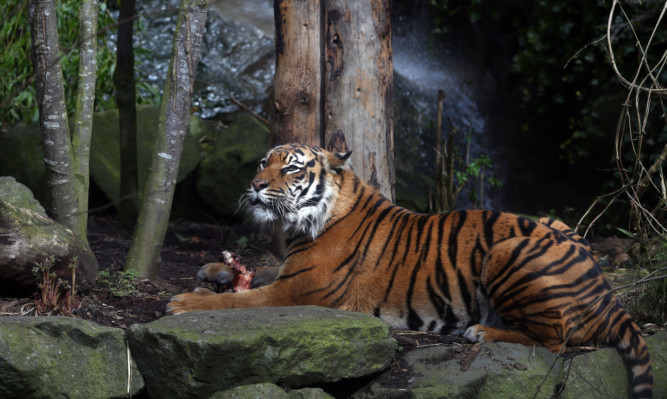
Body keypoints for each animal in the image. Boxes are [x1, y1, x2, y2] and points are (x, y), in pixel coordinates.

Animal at [167, 142, 652, 398]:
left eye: (290, 168)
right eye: (262, 162)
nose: (254, 185)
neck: (310, 220)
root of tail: (608, 293)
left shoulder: (297, 291)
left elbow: (241, 302)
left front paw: (184, 302)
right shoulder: (289, 275)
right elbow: (252, 278)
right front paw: (213, 269)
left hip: (509, 249)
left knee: (555, 340)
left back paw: (482, 332)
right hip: (554, 222)